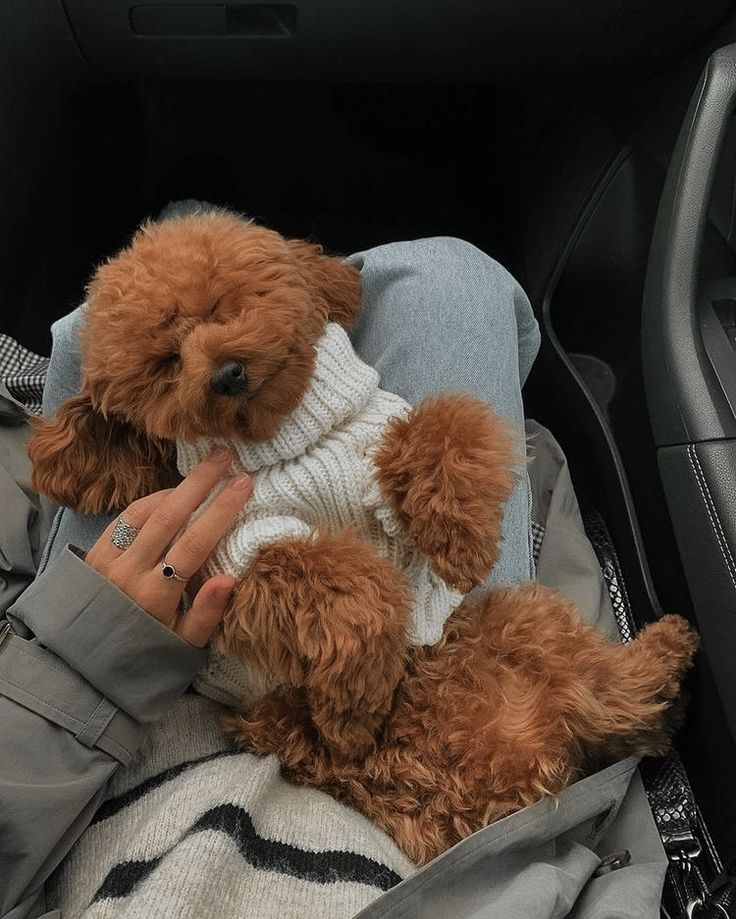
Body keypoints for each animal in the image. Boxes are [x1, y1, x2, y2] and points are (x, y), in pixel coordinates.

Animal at [27, 212, 696, 868]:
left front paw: (464, 541)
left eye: (225, 304)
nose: (226, 374)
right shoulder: (243, 545)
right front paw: (368, 675)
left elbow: (446, 424)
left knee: (610, 689)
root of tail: (524, 754)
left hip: (516, 622)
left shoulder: (382, 442)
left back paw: (664, 651)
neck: (294, 438)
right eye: (166, 363)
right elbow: (338, 579)